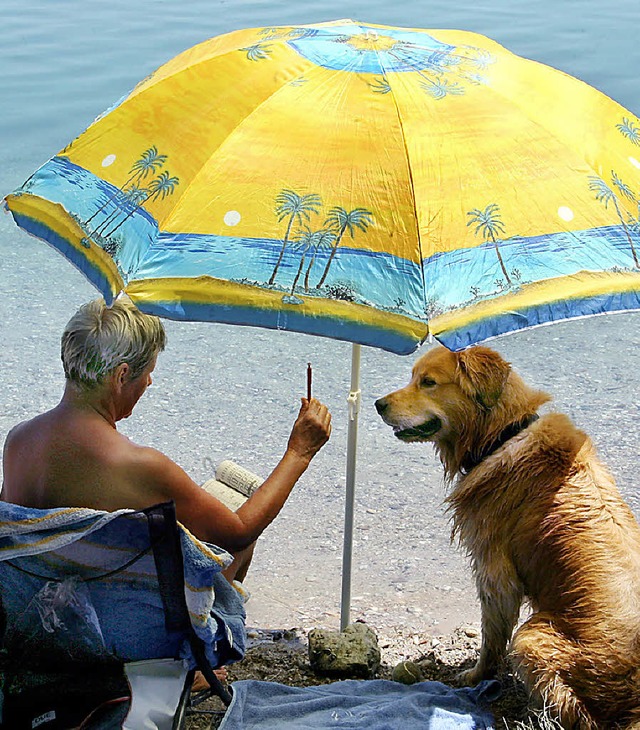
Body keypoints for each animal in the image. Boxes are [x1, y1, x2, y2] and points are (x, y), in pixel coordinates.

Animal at [376, 344, 640, 724]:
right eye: (414, 377)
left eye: (428, 382)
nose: (378, 404)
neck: (502, 436)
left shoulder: (493, 565)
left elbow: (492, 634)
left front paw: (476, 675)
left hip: (531, 640)